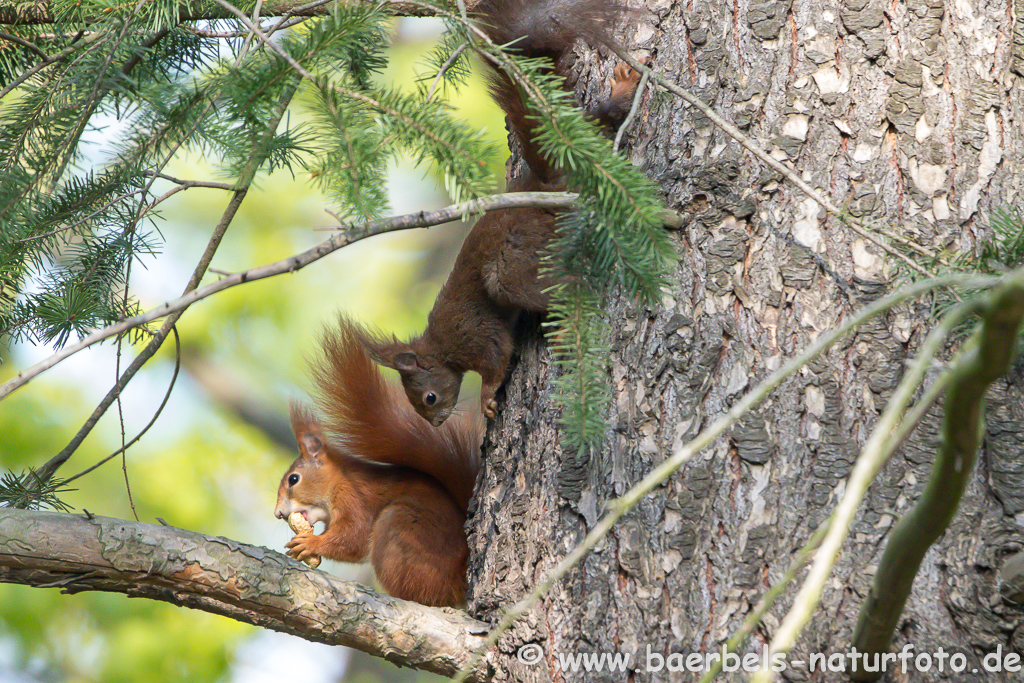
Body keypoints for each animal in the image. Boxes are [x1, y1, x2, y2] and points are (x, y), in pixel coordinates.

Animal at [276, 315, 483, 610]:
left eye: (294, 479)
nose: (278, 513)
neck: (337, 479)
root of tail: (460, 580)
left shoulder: (353, 496)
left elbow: (354, 537)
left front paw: (312, 543)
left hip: (398, 527)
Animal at [356, 0, 634, 423]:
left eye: (428, 399)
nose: (437, 423)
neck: (440, 348)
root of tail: (540, 187)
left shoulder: (473, 336)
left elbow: (496, 358)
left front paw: (487, 397)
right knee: (597, 119)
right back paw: (626, 90)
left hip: (515, 259)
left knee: (557, 283)